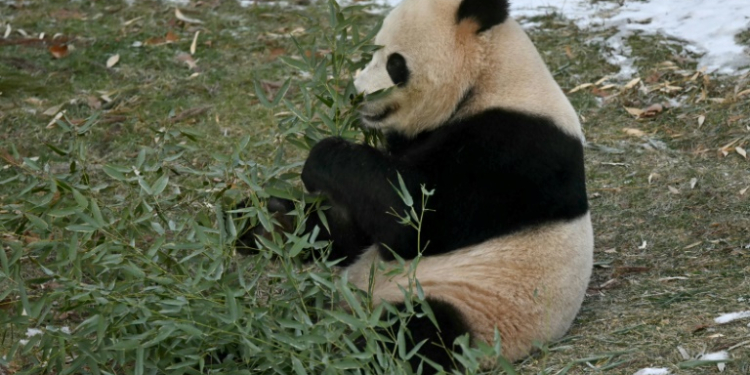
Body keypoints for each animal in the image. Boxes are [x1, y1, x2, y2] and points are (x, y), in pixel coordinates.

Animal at [268, 0, 592, 372]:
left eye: (395, 63)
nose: (356, 95)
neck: (490, 77)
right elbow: (361, 224)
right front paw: (282, 216)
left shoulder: (516, 149)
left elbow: (413, 218)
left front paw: (320, 159)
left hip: (473, 309)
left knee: (415, 332)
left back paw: (330, 348)